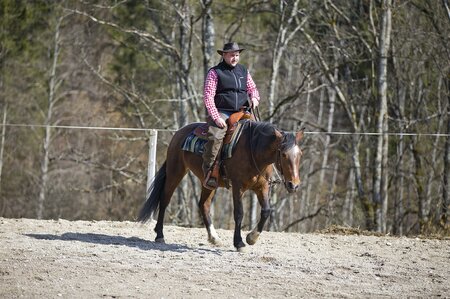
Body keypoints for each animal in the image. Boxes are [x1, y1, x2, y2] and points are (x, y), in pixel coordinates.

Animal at [139, 120, 304, 252]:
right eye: (283, 154)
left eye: (300, 154)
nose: (294, 185)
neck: (254, 151)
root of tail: (179, 133)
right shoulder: (238, 187)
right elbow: (239, 213)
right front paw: (239, 243)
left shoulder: (262, 187)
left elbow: (266, 211)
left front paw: (252, 237)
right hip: (175, 171)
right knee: (164, 199)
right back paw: (160, 235)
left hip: (208, 183)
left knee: (203, 205)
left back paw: (214, 237)